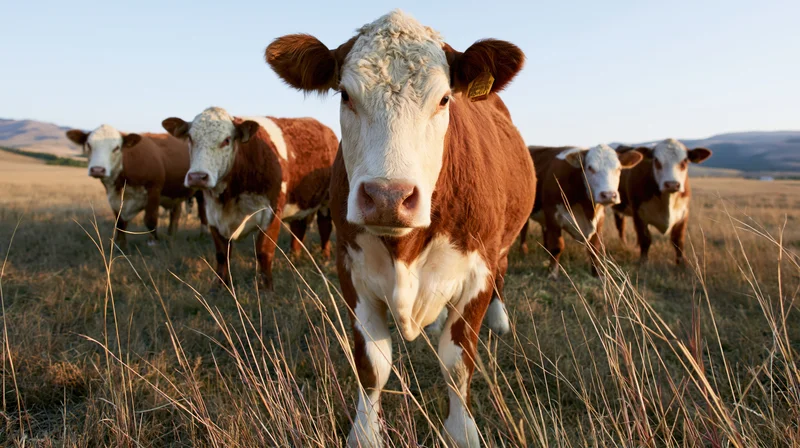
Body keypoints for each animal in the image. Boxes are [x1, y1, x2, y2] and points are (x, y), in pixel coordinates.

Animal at [65, 125, 206, 249]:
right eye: (89, 145)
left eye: (116, 148)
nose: (97, 170)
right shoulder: (114, 197)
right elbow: (120, 223)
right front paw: (121, 247)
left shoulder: (154, 190)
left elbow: (150, 220)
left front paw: (153, 243)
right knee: (175, 214)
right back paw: (171, 236)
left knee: (202, 211)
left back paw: (202, 235)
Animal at [161, 107, 338, 291]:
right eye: (190, 138)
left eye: (226, 140)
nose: (197, 177)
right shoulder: (212, 215)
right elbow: (222, 254)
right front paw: (220, 286)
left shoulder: (272, 212)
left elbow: (264, 252)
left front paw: (267, 289)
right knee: (298, 228)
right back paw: (294, 258)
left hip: (327, 200)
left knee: (324, 226)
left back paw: (325, 258)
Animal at [266, 10, 534, 448]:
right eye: (345, 95)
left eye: (444, 99)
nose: (387, 196)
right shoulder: (351, 269)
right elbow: (373, 364)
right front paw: (365, 433)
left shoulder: (477, 270)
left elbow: (457, 362)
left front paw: (461, 432)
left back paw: (499, 320)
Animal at [519, 145, 643, 278]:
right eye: (590, 168)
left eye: (618, 168)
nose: (608, 195)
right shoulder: (552, 214)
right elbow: (557, 246)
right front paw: (552, 273)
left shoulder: (599, 218)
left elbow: (594, 248)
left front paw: (597, 273)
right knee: (524, 230)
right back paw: (523, 251)